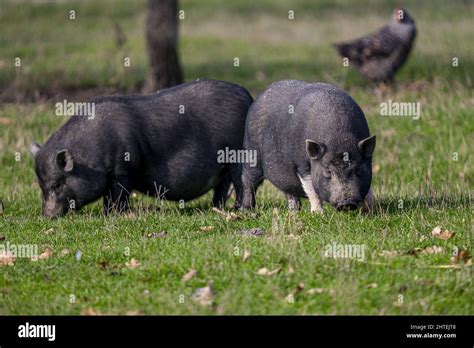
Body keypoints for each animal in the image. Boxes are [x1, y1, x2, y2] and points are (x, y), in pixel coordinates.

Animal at [243, 80, 376, 213]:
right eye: (328, 171)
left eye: (358, 169)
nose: (346, 203)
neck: (340, 138)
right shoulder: (301, 165)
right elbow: (312, 190)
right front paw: (318, 213)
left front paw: (371, 210)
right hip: (252, 154)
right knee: (248, 180)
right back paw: (247, 210)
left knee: (289, 192)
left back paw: (294, 211)